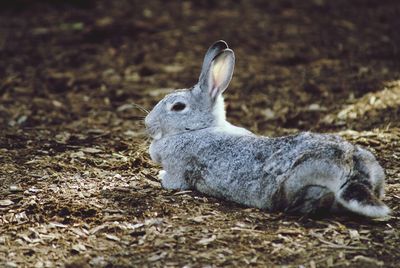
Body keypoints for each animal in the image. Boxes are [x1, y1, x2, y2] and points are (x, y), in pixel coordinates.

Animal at [145, 40, 390, 219]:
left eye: (178, 107)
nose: (148, 124)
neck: (198, 129)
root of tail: (351, 166)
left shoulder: (178, 170)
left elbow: (172, 180)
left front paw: (160, 176)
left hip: (298, 180)